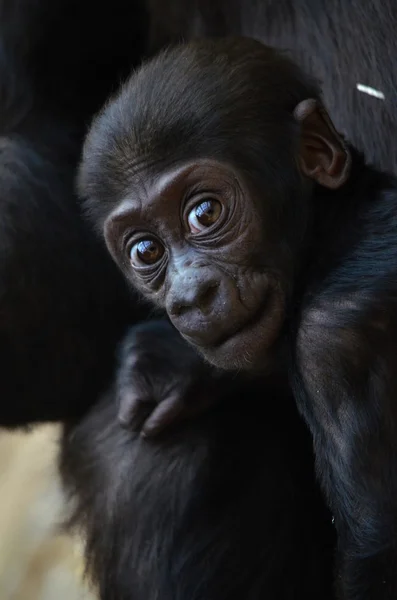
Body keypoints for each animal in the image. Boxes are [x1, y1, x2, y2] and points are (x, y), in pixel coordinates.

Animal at [79, 38, 397, 600]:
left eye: (205, 213)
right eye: (145, 250)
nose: (192, 296)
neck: (328, 231)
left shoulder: (336, 340)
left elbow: (378, 548)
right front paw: (168, 365)